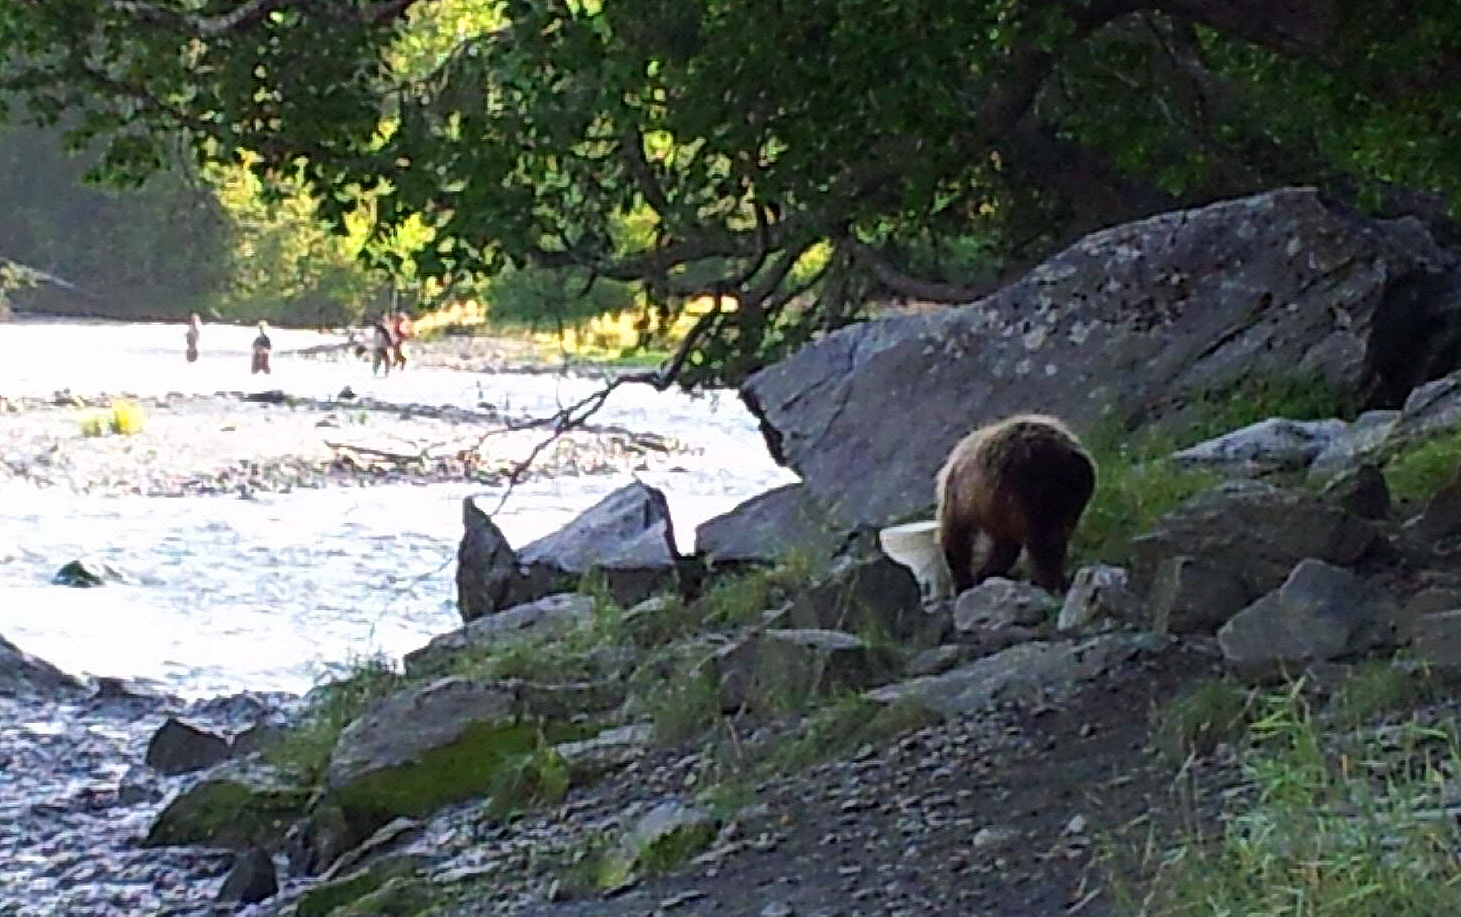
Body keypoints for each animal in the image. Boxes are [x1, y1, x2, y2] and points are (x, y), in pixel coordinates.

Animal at [935, 413, 1096, 595]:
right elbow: (1005, 545)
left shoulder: (965, 497)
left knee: (1040, 543)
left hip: (1026, 490)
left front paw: (965, 580)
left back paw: (1045, 582)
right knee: (1054, 539)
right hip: (1067, 497)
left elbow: (956, 536)